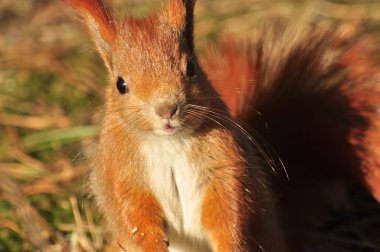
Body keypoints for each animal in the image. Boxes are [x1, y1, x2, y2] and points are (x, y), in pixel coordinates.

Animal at [65, 0, 380, 251]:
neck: (169, 142)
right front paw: (152, 243)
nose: (167, 109)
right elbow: (134, 215)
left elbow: (227, 209)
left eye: (191, 67)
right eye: (121, 84)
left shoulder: (224, 161)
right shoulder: (123, 172)